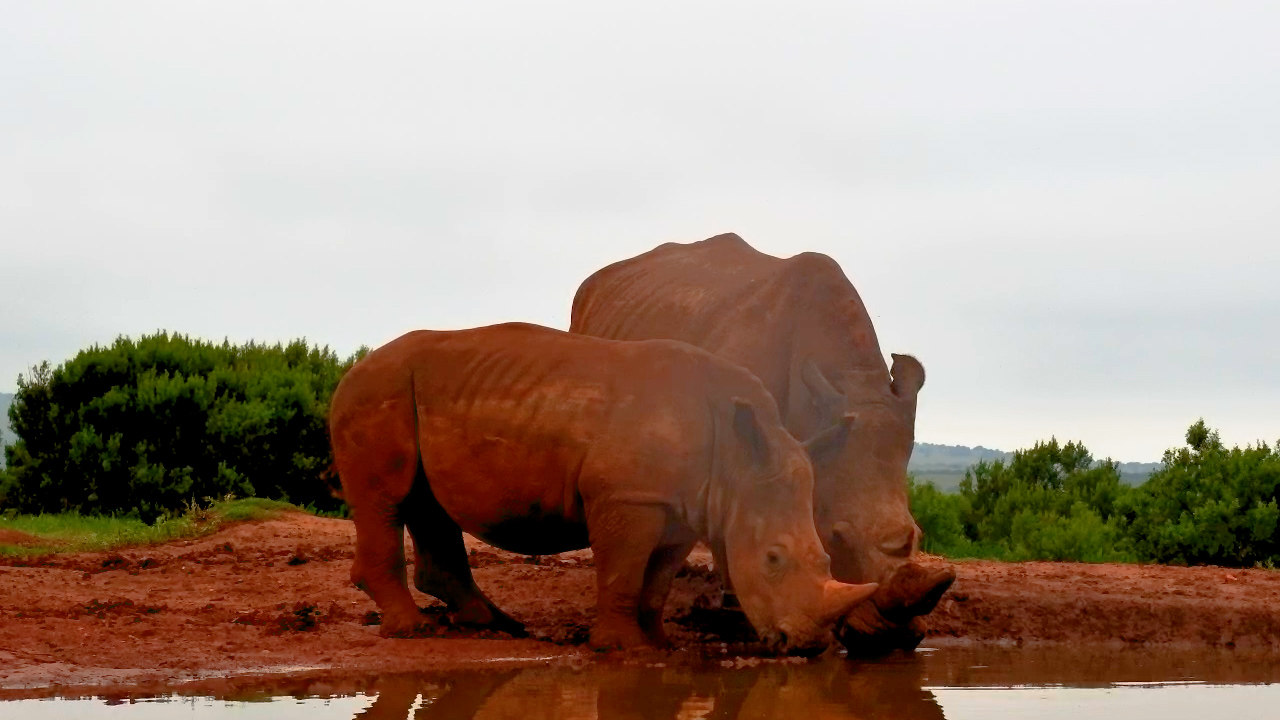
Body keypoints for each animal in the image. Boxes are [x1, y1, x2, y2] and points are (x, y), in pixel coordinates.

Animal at [328, 322, 878, 651]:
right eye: (773, 559)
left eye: (826, 559)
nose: (805, 644)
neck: (738, 464)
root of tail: (350, 369)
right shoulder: (627, 497)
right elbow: (623, 571)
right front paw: (621, 647)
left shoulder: (684, 506)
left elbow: (657, 581)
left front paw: (660, 642)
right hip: (375, 392)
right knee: (387, 498)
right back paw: (412, 629)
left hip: (411, 392)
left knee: (427, 503)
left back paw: (490, 623)